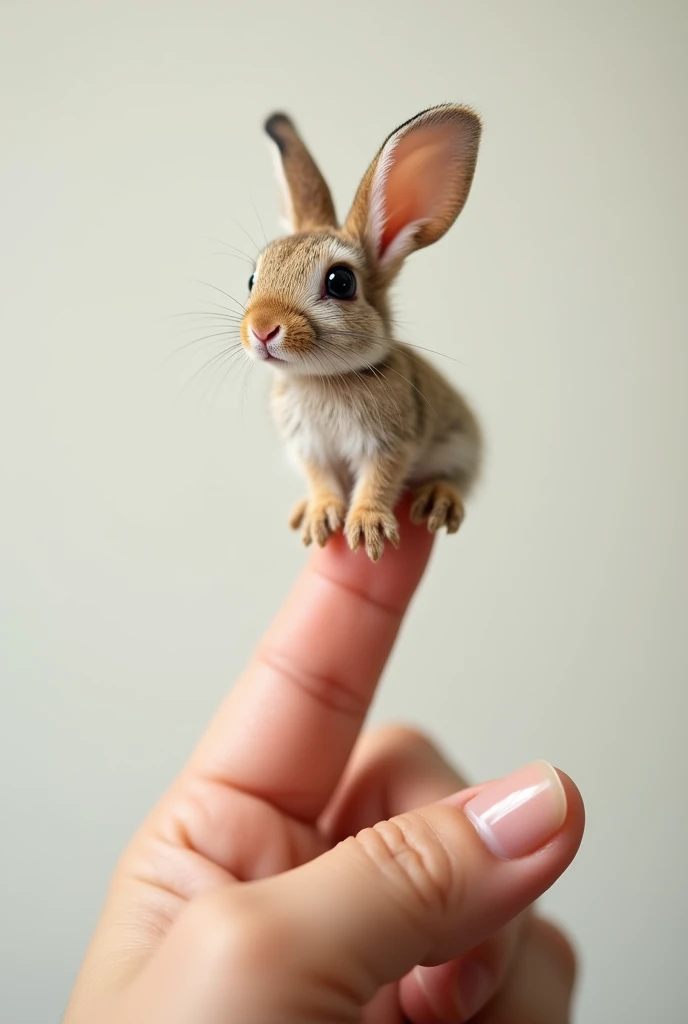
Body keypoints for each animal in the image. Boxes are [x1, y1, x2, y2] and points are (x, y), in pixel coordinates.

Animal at [240, 103, 483, 565]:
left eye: (341, 282)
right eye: (251, 280)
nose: (262, 329)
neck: (325, 379)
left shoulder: (389, 444)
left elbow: (379, 480)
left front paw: (368, 526)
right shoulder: (309, 448)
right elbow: (320, 479)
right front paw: (320, 515)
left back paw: (439, 500)